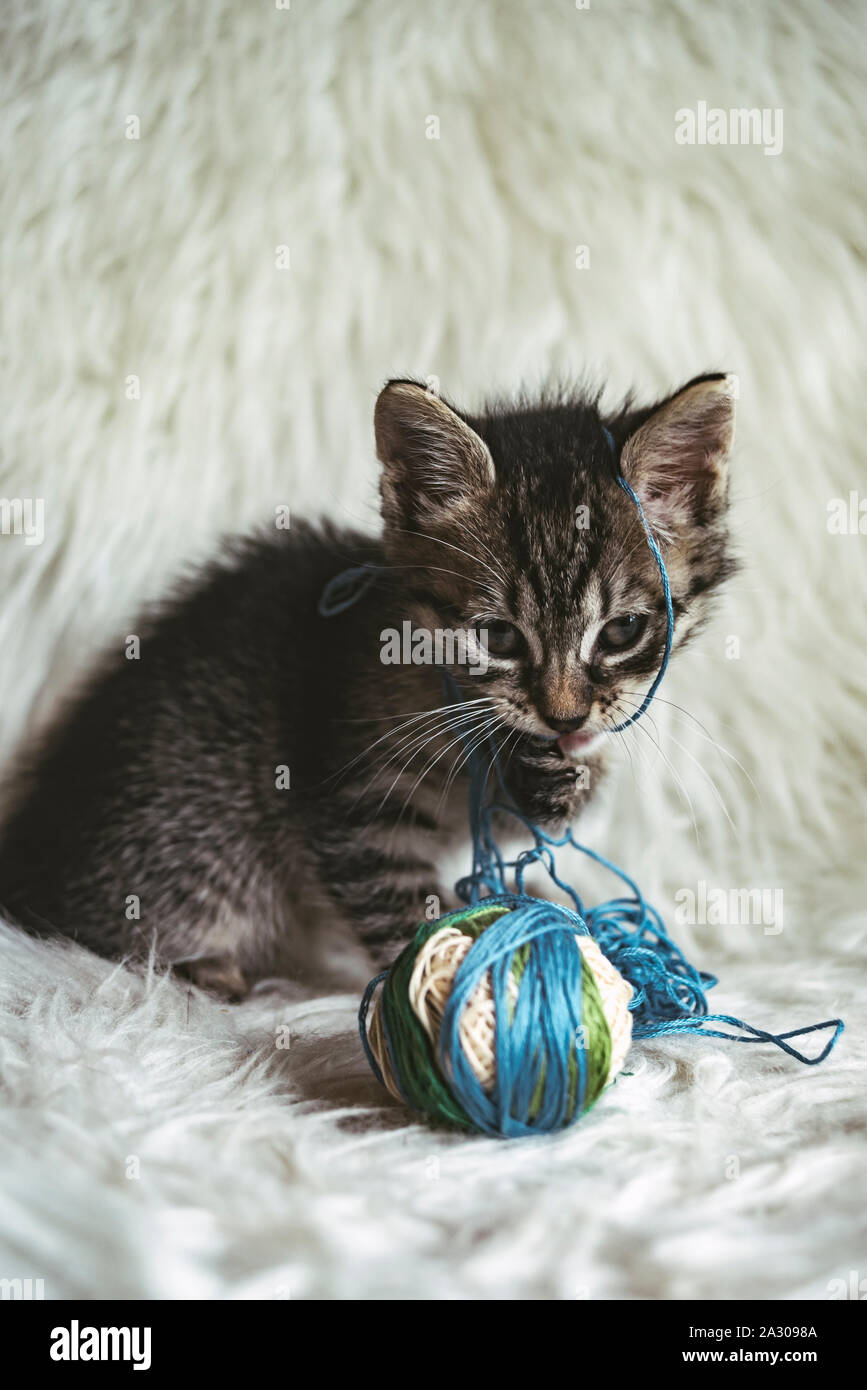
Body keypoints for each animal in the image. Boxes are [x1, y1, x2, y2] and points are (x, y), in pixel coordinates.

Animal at [0, 375, 739, 995]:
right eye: (498, 637)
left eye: (622, 632)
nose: (564, 717)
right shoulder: (356, 803)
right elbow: (402, 909)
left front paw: (568, 776)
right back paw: (205, 968)